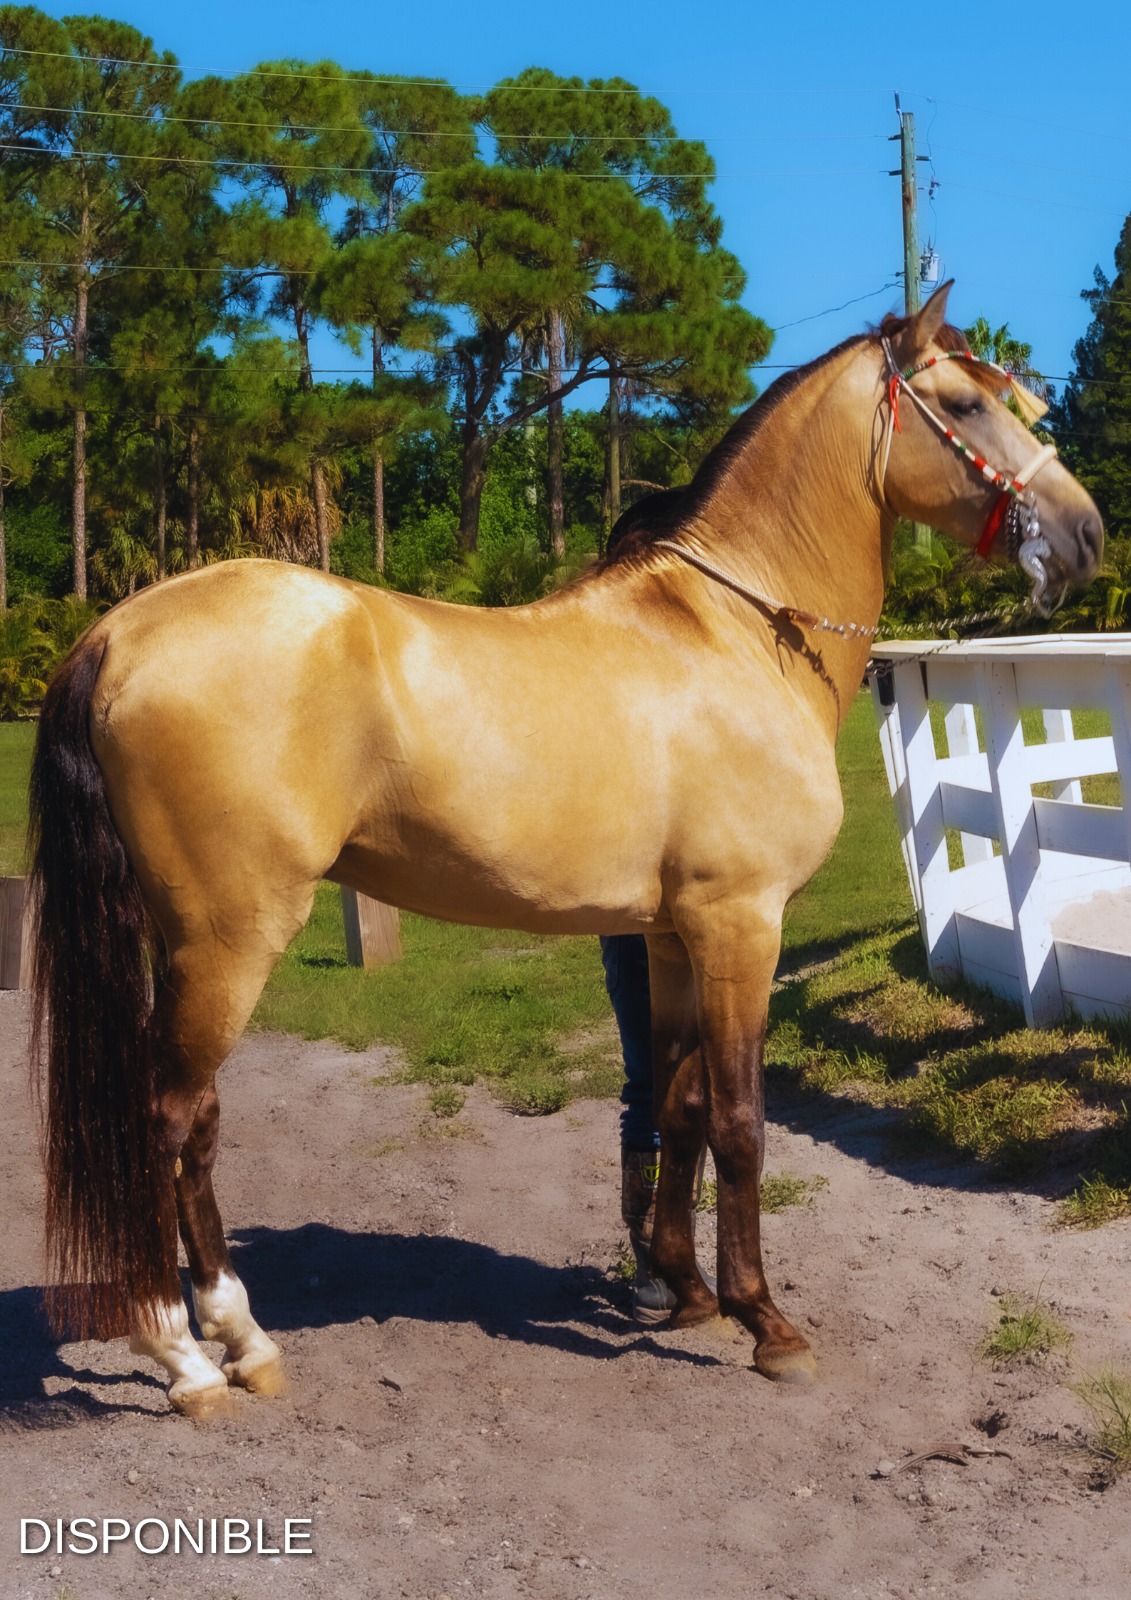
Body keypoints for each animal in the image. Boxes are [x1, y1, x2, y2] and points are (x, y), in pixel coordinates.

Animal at [28, 282, 1102, 1415]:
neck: (728, 632)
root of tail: (119, 632)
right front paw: (765, 1321)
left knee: (190, 1124)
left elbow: (675, 1106)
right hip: (229, 941)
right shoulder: (741, 925)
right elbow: (740, 1121)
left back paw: (234, 1339)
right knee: (163, 1120)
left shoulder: (673, 937)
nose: (1085, 532)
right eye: (963, 405)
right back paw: (190, 1356)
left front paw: (684, 1289)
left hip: (187, 945)